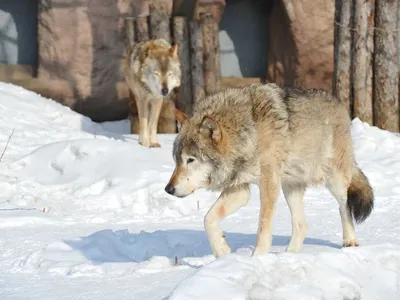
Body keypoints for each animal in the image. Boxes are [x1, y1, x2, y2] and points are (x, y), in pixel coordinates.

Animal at [164, 84, 374, 258]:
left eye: (191, 160)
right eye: (177, 160)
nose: (168, 189)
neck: (248, 132)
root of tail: (339, 104)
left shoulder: (269, 185)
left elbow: (263, 226)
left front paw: (257, 258)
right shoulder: (240, 189)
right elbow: (208, 219)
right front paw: (222, 251)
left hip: (334, 180)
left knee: (344, 206)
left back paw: (350, 241)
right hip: (290, 188)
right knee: (302, 225)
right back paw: (289, 255)